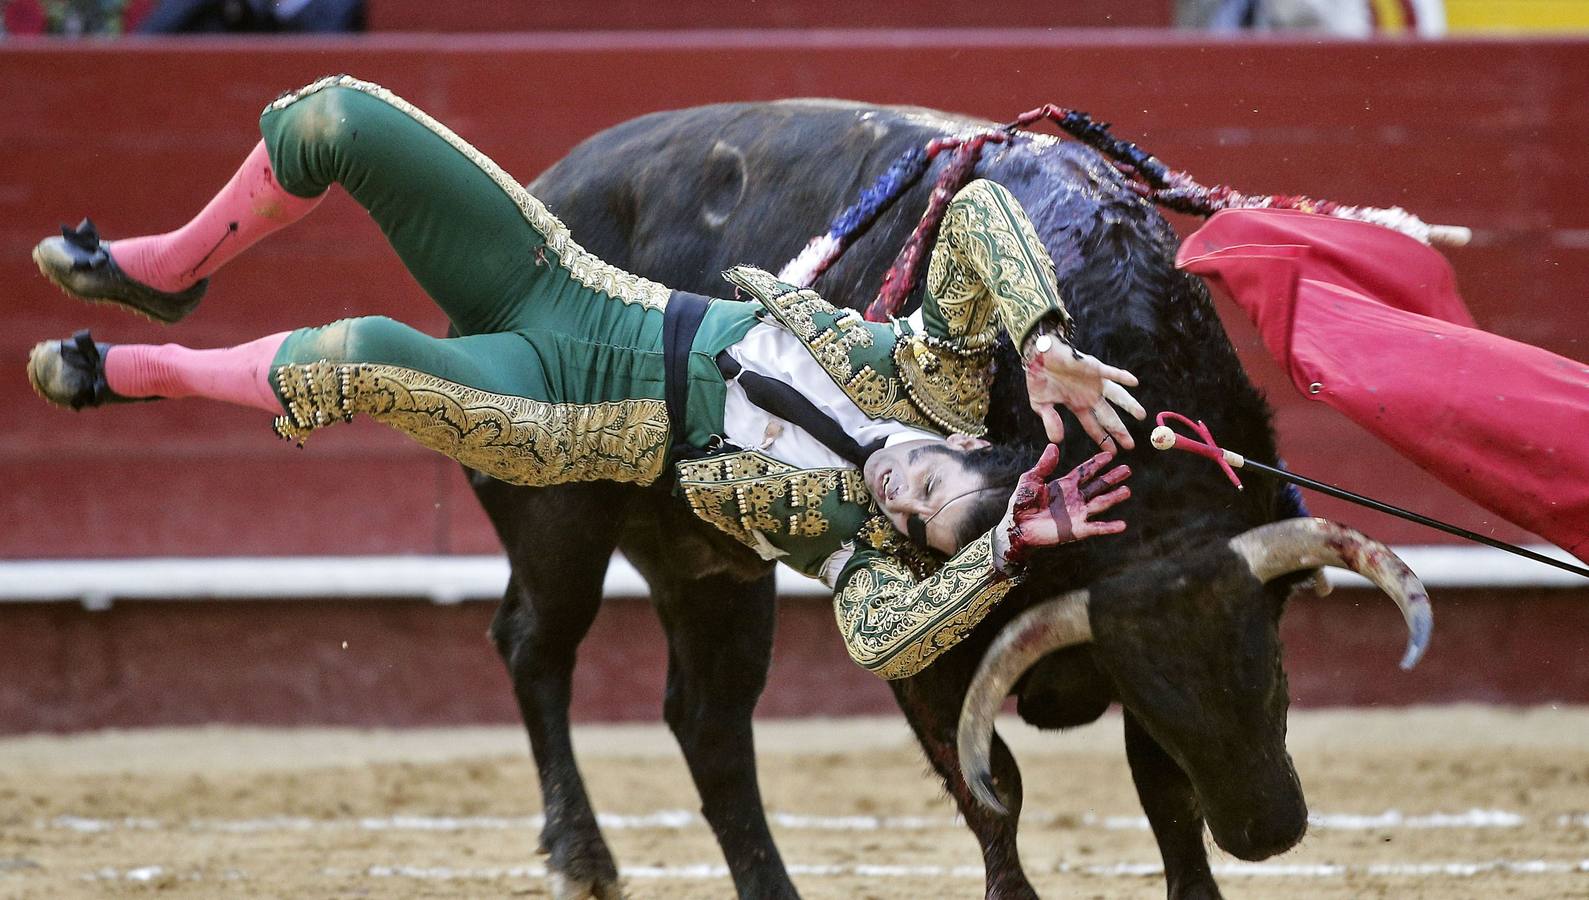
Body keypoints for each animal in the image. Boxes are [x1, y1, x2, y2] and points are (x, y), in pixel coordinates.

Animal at [470, 100, 1430, 900]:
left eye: (1273, 667)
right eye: (1162, 693)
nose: (1268, 831)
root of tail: (549, 185)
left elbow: (1162, 793)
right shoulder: (926, 662)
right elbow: (992, 785)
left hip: (709, 569)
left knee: (709, 720)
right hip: (556, 517)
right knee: (535, 646)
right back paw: (581, 857)